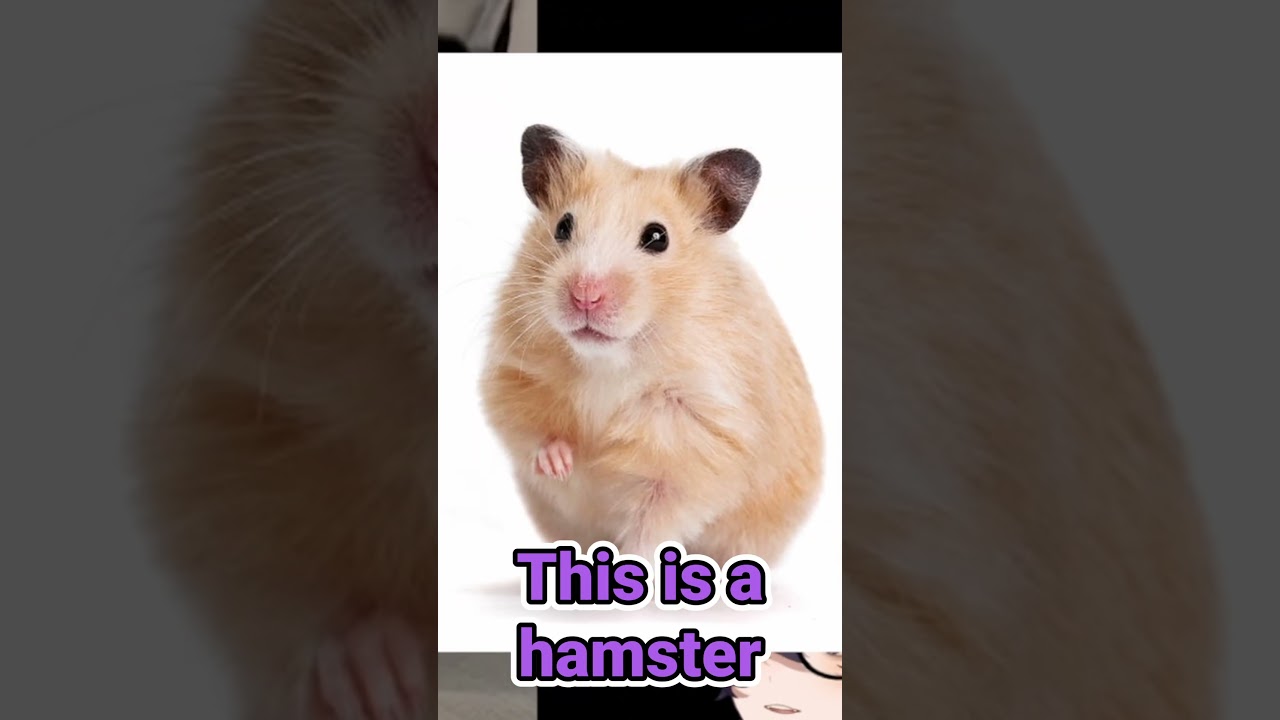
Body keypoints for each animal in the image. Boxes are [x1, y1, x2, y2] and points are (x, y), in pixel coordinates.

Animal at [479, 125, 824, 567]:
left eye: (658, 237)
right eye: (563, 226)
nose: (585, 296)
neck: (608, 361)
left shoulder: (697, 441)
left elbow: (654, 519)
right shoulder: (513, 372)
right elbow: (531, 429)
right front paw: (560, 465)